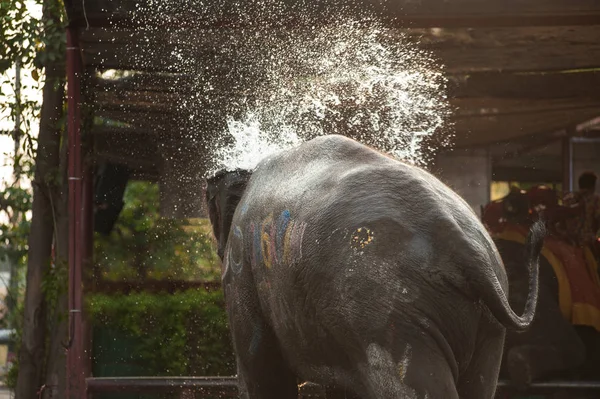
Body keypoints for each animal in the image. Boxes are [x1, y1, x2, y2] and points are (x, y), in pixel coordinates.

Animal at [205, 135, 544, 399]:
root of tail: (466, 249)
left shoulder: (241, 261)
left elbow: (262, 371)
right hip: (486, 324)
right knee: (479, 384)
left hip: (384, 311)